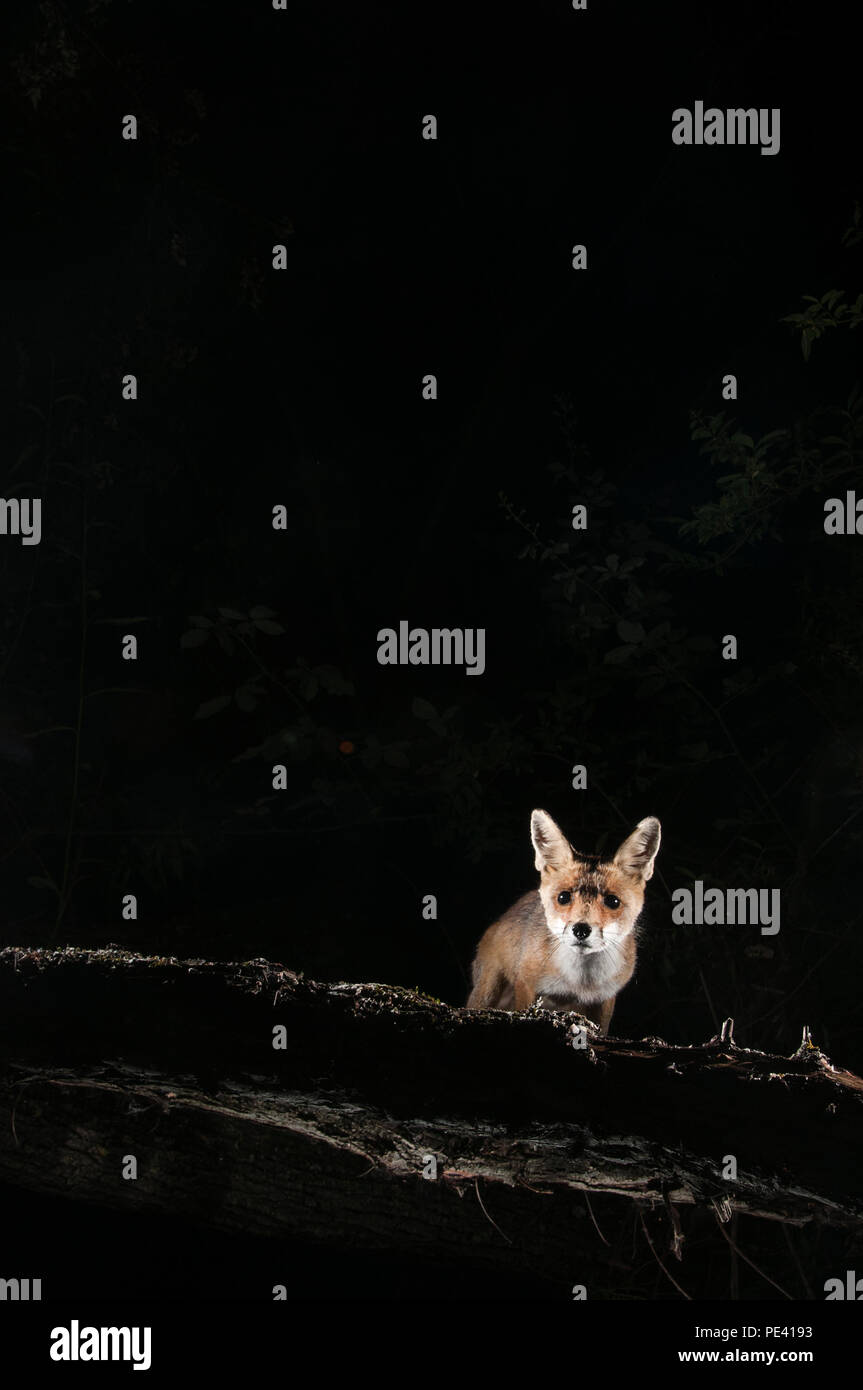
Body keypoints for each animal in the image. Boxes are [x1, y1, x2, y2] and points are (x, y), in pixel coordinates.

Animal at [466, 809, 661, 1034]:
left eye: (613, 901)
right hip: (487, 991)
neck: (579, 983)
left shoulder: (605, 999)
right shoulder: (526, 984)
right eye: (563, 897)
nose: (581, 930)